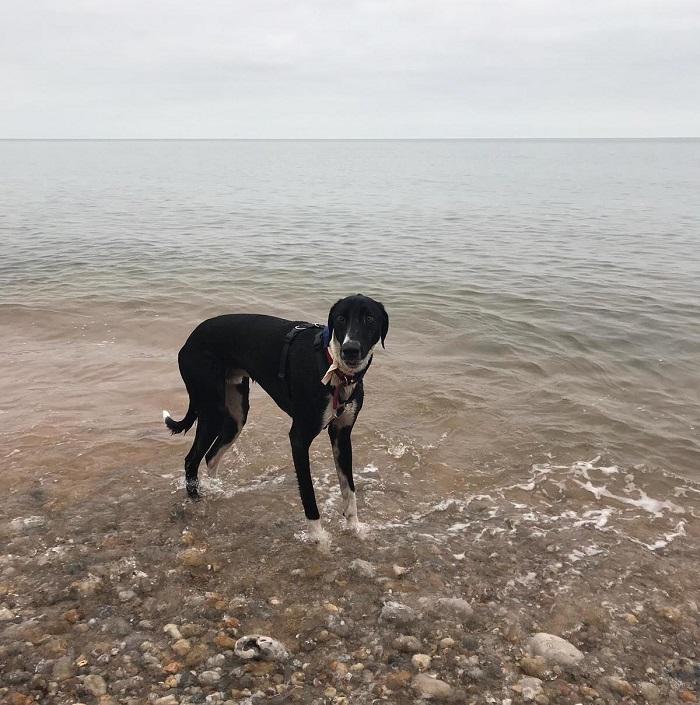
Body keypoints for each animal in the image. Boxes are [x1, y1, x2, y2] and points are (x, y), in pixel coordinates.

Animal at [164, 292, 388, 540]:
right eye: (340, 318)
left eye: (370, 318)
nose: (351, 349)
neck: (333, 367)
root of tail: (190, 339)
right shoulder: (299, 439)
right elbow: (308, 495)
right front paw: (319, 539)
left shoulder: (342, 434)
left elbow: (349, 490)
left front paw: (356, 529)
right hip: (212, 410)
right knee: (191, 460)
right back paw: (198, 503)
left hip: (236, 413)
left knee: (212, 456)